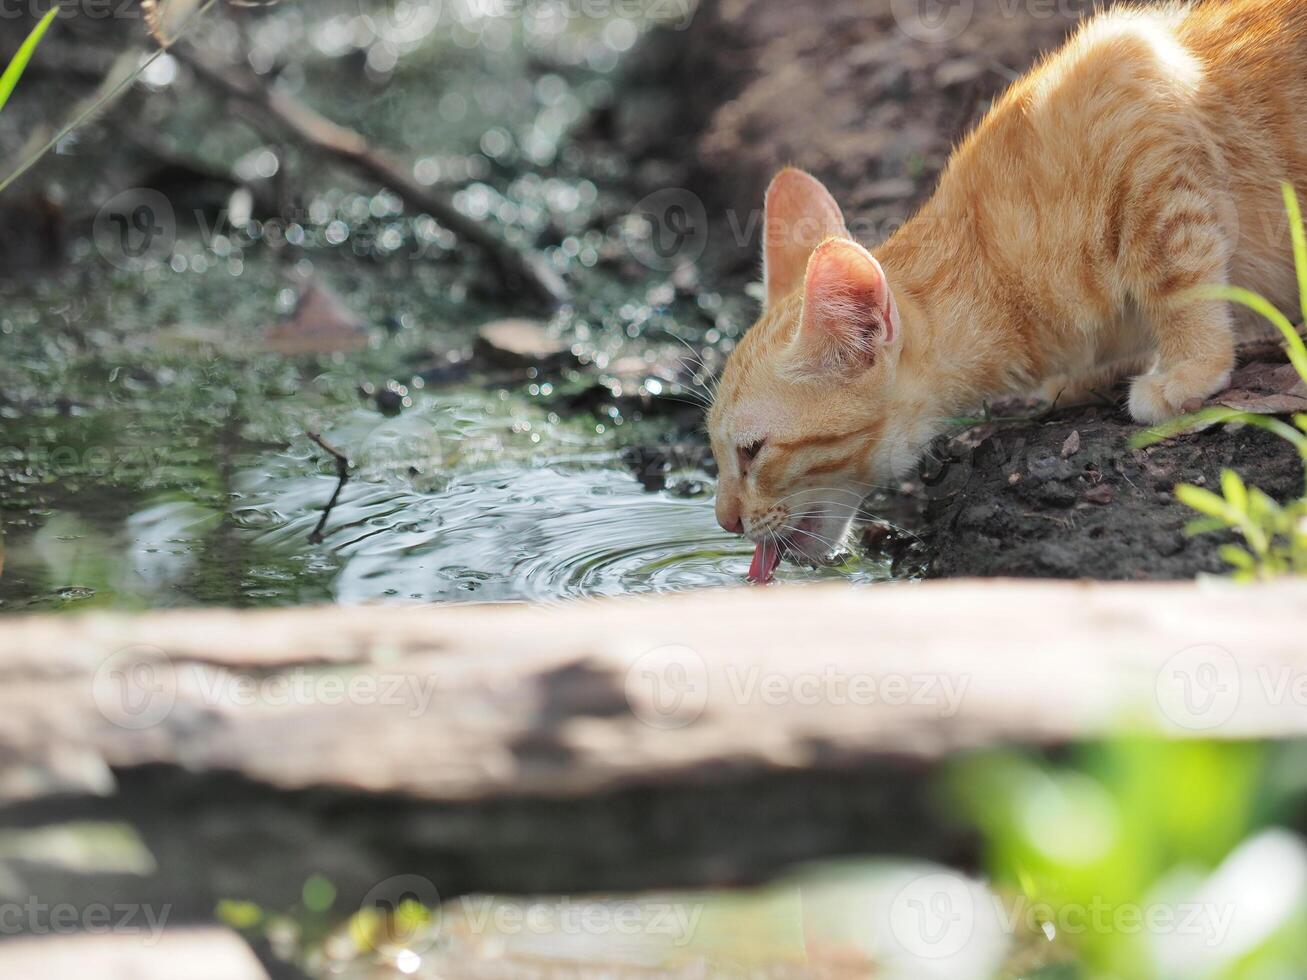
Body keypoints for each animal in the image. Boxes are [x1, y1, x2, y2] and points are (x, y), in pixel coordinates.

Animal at [711, 0, 1307, 582]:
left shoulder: (1140, 93)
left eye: (752, 452)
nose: (725, 522)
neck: (993, 266)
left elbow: (1177, 272)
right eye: (717, 452)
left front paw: (1189, 367)